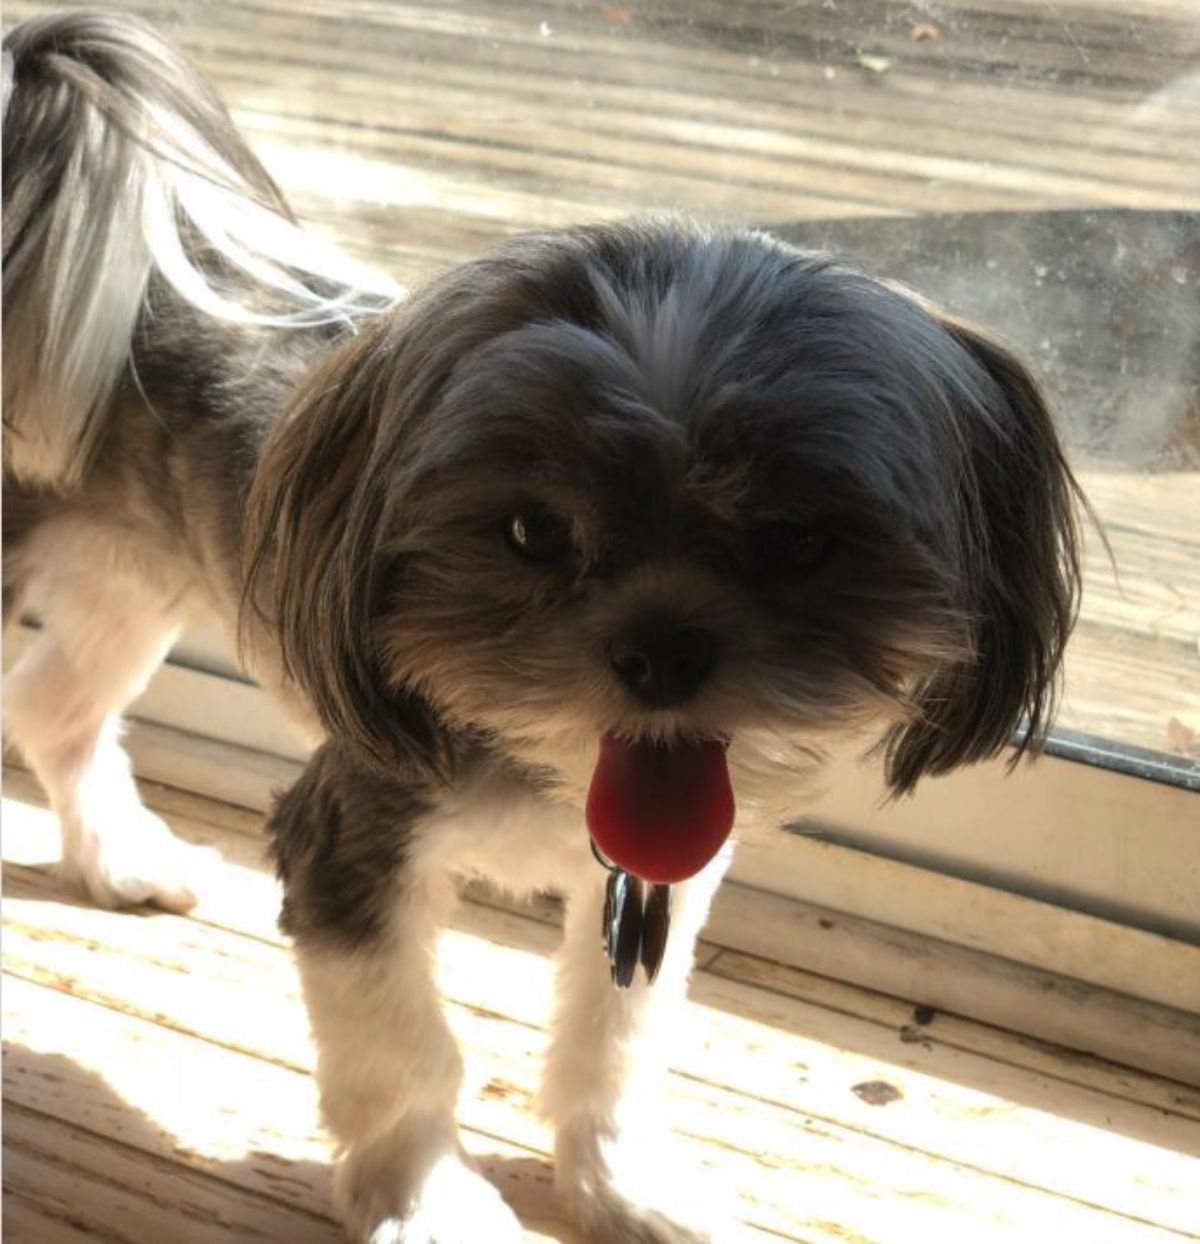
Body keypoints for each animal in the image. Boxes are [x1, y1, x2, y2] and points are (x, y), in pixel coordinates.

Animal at [2, 12, 1084, 1244]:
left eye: (802, 539)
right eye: (531, 529)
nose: (661, 650)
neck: (558, 763)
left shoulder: (656, 883)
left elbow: (616, 1040)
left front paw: (621, 1179)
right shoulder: (355, 837)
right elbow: (407, 1053)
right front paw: (428, 1196)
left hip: (131, 578)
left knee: (53, 707)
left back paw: (120, 857)